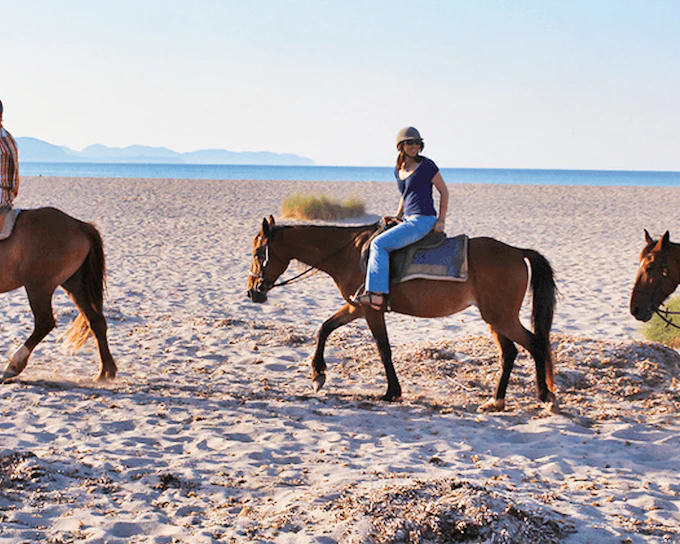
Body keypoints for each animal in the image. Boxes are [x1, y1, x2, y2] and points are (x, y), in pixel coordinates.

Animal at [0, 207, 116, 382]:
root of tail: (79, 225)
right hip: (74, 285)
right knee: (96, 321)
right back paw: (105, 372)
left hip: (39, 288)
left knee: (44, 323)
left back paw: (13, 366)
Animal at [248, 216, 557, 412]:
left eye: (257, 252)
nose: (253, 292)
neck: (349, 252)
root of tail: (516, 251)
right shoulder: (355, 307)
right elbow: (324, 327)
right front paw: (318, 374)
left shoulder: (369, 310)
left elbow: (383, 349)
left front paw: (391, 392)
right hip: (494, 319)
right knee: (510, 353)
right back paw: (497, 401)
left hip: (501, 317)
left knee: (535, 344)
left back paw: (544, 396)